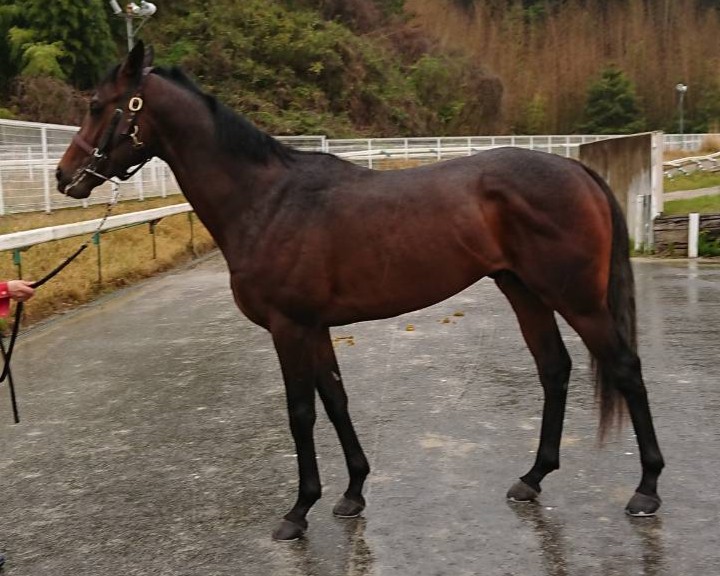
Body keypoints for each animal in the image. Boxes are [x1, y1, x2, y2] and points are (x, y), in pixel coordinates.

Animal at [56, 42, 664, 541]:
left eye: (97, 105)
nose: (65, 177)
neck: (267, 200)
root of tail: (577, 171)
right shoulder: (316, 327)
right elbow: (336, 399)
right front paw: (351, 493)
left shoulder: (289, 327)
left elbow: (301, 410)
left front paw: (298, 511)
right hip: (524, 291)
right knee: (554, 369)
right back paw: (532, 478)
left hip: (577, 299)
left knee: (625, 369)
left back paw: (647, 488)